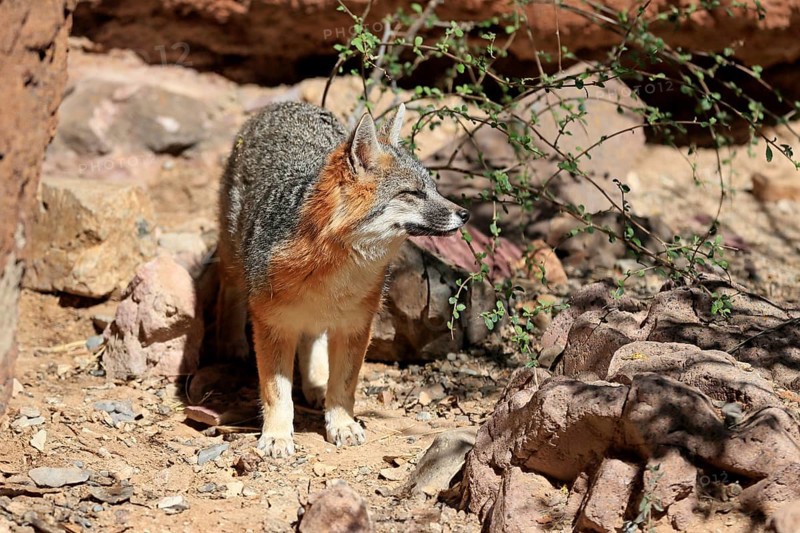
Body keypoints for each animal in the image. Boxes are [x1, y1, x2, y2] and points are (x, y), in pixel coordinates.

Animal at [216, 101, 469, 458]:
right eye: (413, 193)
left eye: (433, 189)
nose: (466, 214)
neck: (332, 274)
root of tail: (284, 104)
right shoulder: (273, 325)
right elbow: (277, 392)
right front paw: (277, 435)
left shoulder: (354, 325)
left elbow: (344, 386)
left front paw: (341, 423)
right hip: (234, 257)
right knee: (228, 286)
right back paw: (230, 342)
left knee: (312, 338)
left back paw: (315, 382)